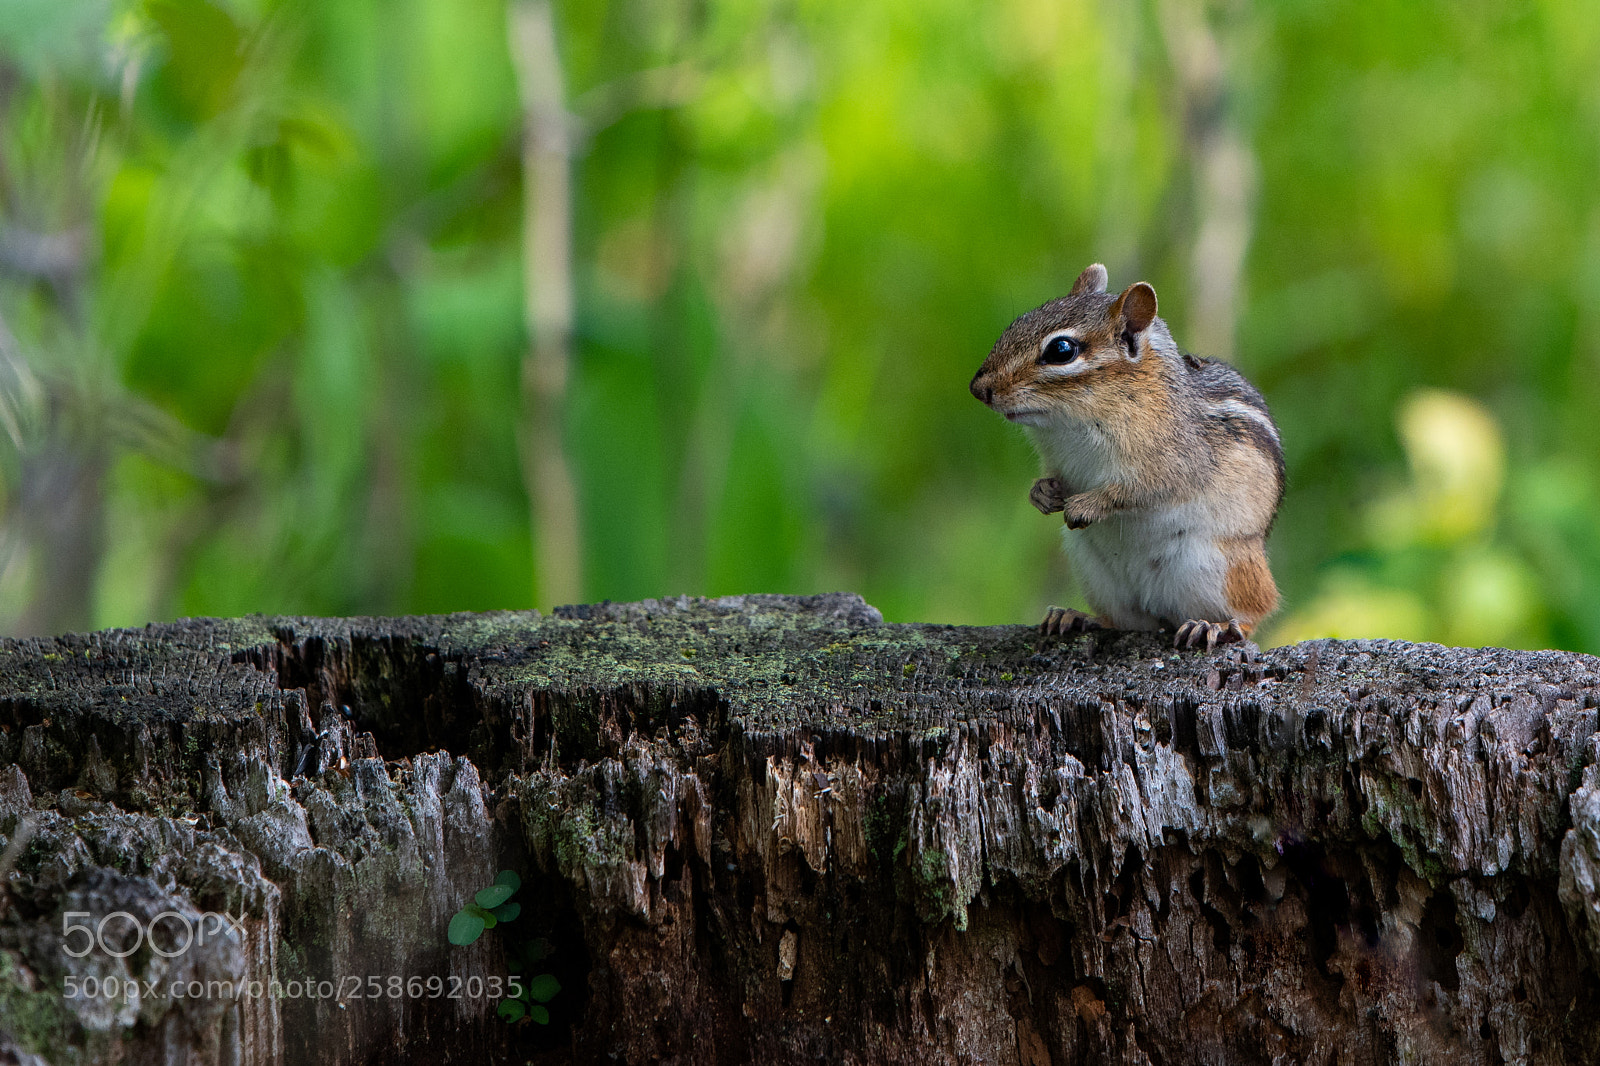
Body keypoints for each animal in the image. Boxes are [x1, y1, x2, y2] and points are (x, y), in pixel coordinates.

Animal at [968, 263, 1283, 650]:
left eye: (1061, 349)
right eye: (1018, 322)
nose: (978, 388)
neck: (1069, 423)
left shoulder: (1172, 462)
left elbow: (1135, 491)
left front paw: (1085, 505)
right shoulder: (1057, 461)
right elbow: (1053, 478)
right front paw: (1042, 494)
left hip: (1222, 568)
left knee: (1255, 613)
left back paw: (1216, 626)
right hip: (1096, 573)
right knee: (1125, 621)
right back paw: (1074, 617)